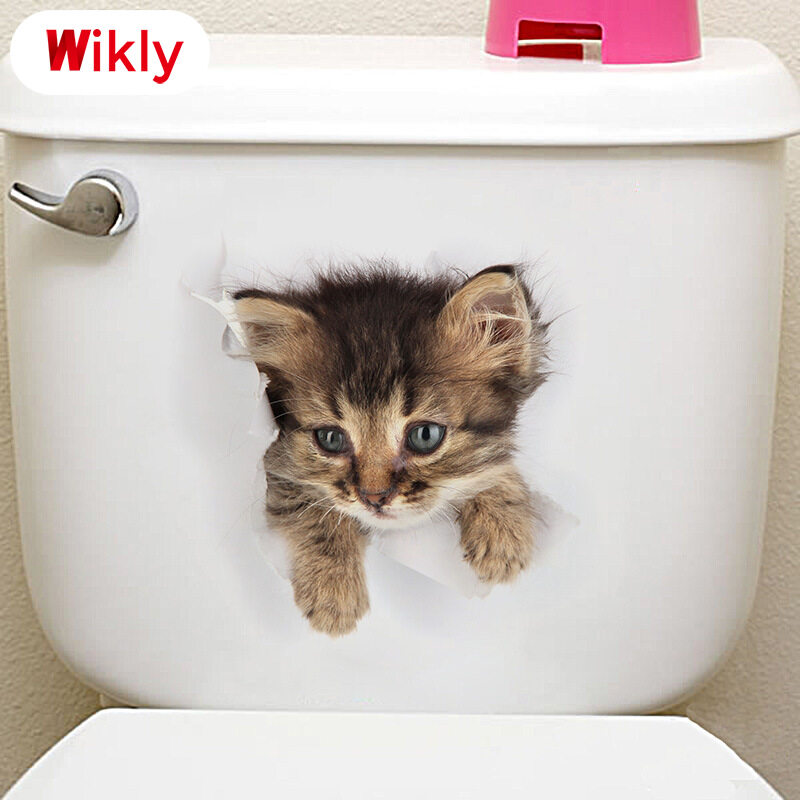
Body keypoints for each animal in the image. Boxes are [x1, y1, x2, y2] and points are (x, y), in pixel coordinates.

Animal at [232, 262, 549, 636]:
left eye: (425, 436)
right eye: (330, 438)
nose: (374, 497)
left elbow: (494, 462)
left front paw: (503, 529)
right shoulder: (271, 455)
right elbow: (309, 505)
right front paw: (332, 592)